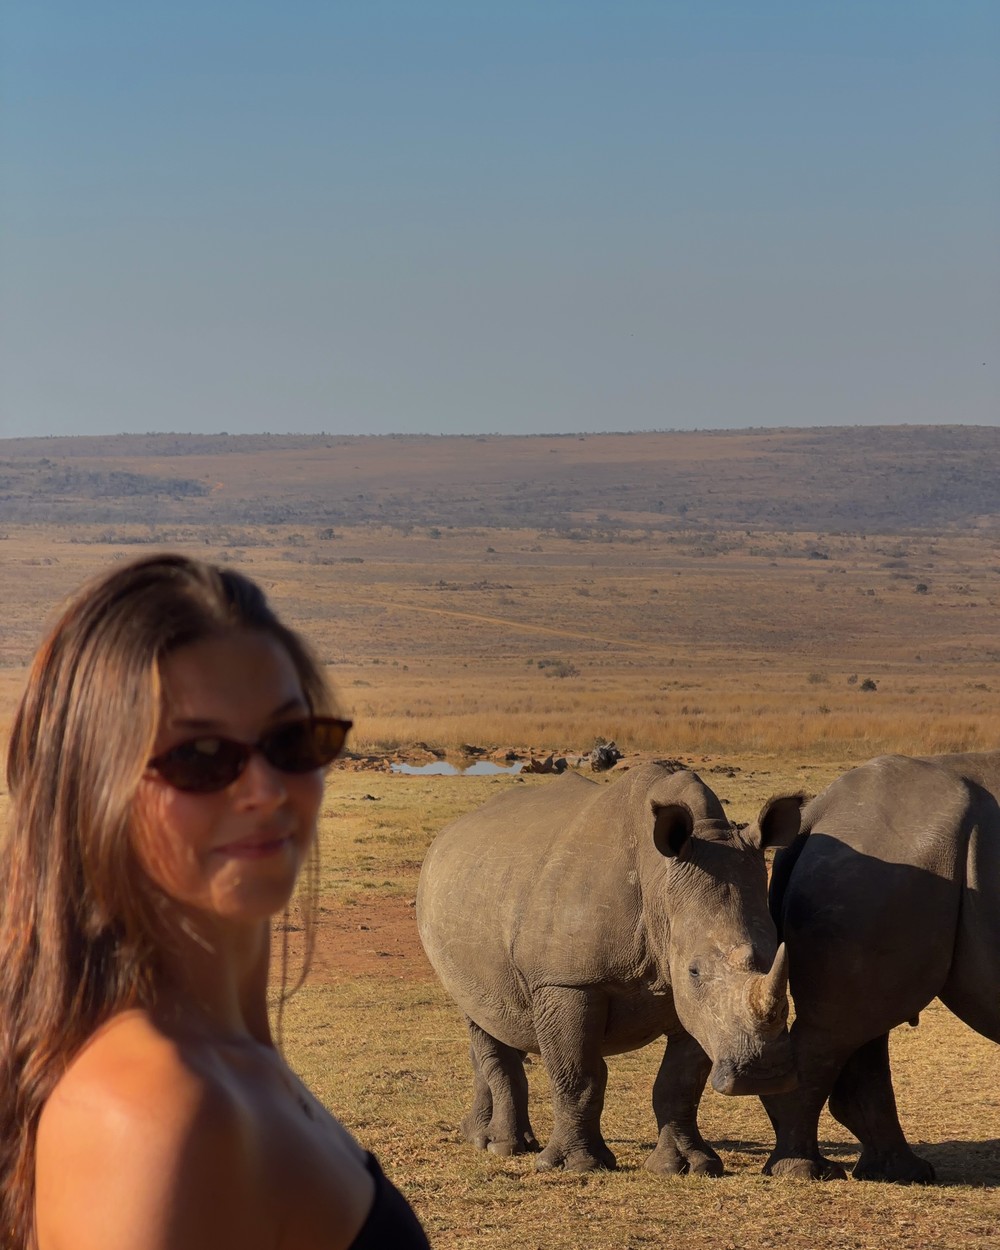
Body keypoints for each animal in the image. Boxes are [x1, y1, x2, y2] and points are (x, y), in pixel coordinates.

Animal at [416, 763, 801, 1175]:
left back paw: (479, 1136)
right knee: (478, 1017)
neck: (659, 881)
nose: (763, 1075)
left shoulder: (690, 1001)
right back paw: (503, 1147)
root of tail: (448, 833)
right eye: (695, 971)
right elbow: (578, 1074)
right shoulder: (568, 982)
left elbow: (680, 1082)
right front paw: (577, 1166)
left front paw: (687, 1166)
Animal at [760, 751, 1000, 1182]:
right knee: (841, 1027)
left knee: (862, 1023)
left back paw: (902, 1173)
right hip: (887, 864)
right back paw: (807, 1172)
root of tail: (819, 811)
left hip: (884, 866)